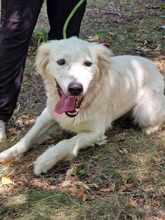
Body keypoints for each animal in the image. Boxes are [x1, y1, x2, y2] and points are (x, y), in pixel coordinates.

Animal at [0, 37, 165, 175]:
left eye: (88, 64)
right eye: (61, 62)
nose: (75, 89)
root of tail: (155, 67)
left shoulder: (96, 132)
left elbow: (67, 143)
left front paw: (44, 161)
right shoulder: (48, 114)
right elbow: (28, 137)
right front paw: (7, 153)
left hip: (144, 112)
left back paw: (149, 129)